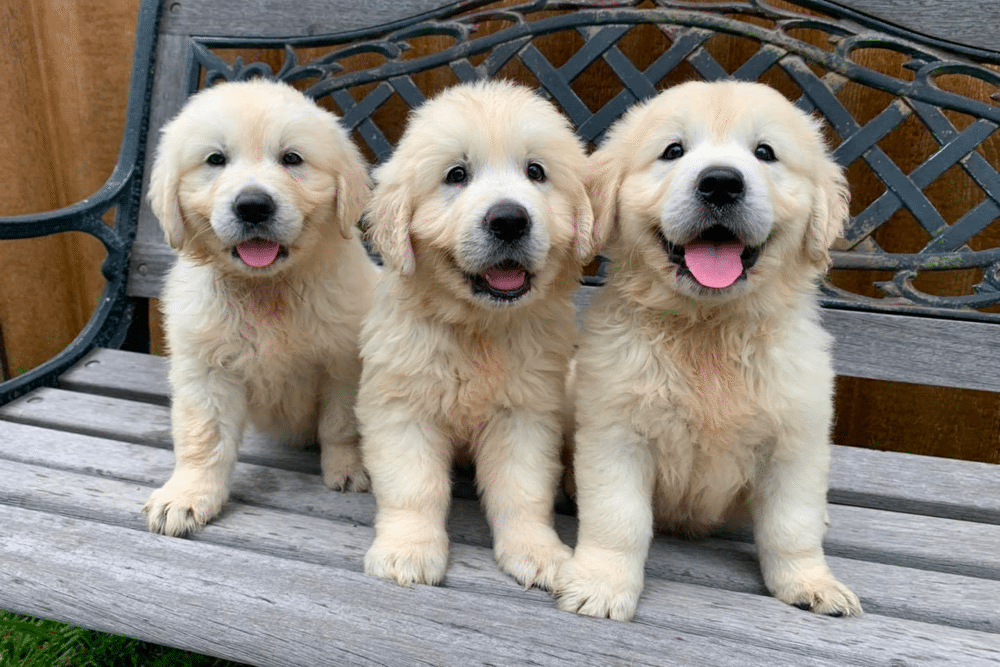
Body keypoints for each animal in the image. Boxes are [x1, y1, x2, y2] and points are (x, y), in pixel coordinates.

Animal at [141, 78, 376, 536]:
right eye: (216, 159)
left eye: (291, 158)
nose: (252, 205)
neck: (268, 290)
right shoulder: (205, 369)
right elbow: (204, 438)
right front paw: (188, 495)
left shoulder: (342, 363)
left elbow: (341, 424)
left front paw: (348, 467)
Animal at [356, 82, 596, 588]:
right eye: (456, 174)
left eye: (535, 171)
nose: (509, 220)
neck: (479, 328)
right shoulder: (403, 408)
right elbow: (414, 487)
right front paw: (408, 551)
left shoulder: (525, 412)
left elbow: (523, 490)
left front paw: (538, 551)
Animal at [552, 82, 864, 620]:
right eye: (673, 151)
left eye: (765, 153)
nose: (720, 183)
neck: (709, 330)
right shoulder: (616, 434)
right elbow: (618, 519)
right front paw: (601, 584)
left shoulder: (796, 442)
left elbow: (792, 525)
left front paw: (811, 582)